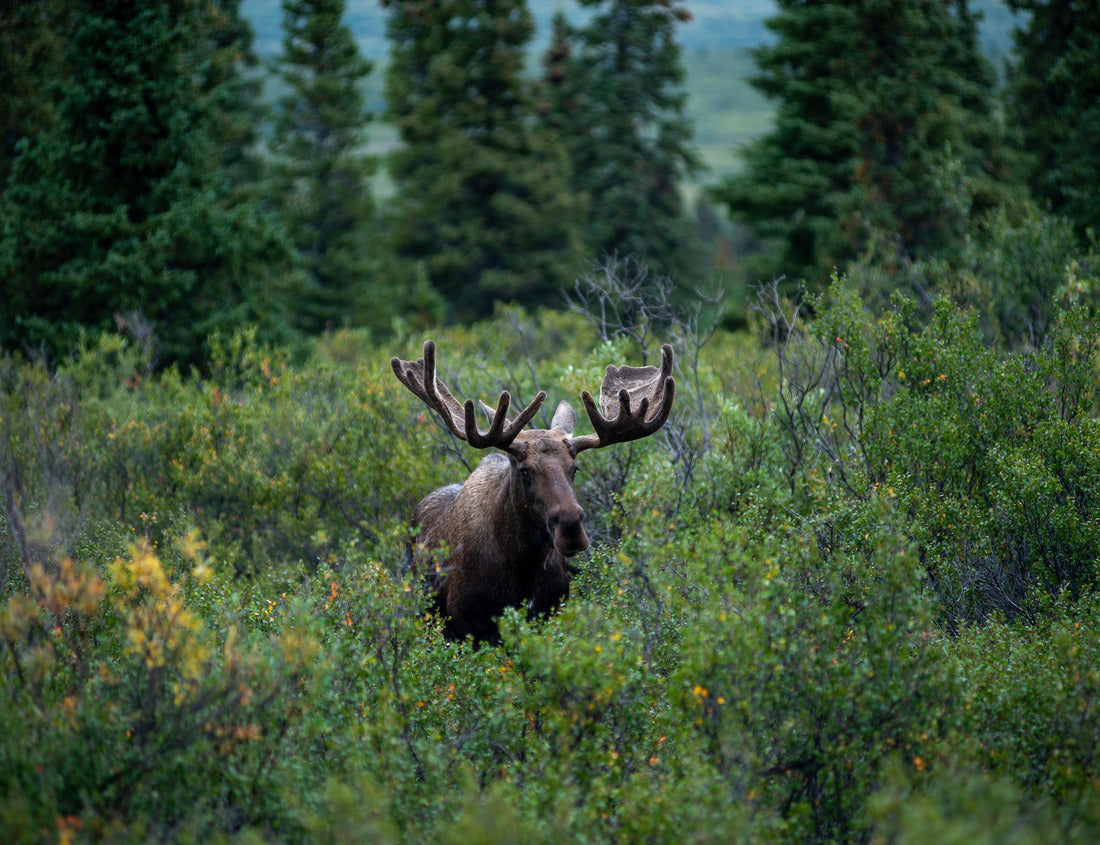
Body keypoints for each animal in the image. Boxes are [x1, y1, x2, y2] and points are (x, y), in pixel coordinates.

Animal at [391, 340, 675, 645]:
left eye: (574, 469)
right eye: (524, 470)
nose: (571, 527)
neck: (522, 565)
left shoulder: (548, 613)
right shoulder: (469, 625)